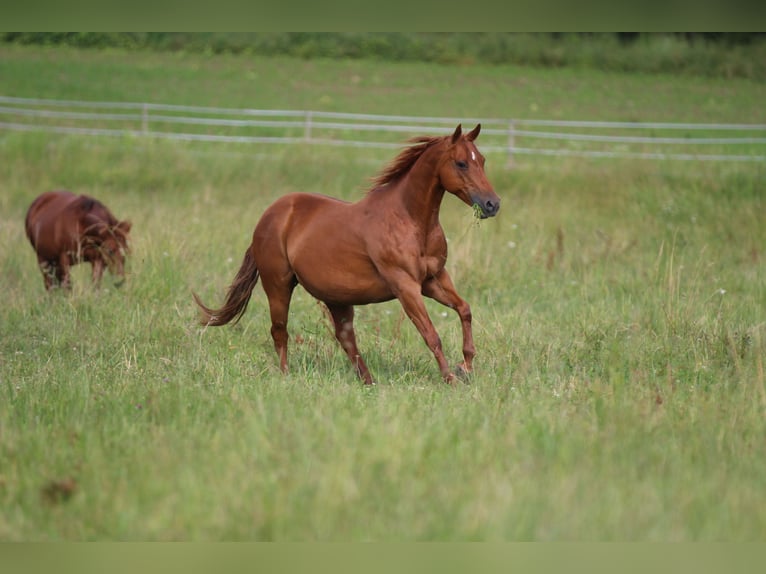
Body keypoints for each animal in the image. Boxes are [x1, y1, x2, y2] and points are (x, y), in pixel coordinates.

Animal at [193, 124, 500, 384]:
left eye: (482, 160)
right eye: (461, 163)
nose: (492, 204)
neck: (410, 221)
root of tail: (268, 216)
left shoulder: (433, 280)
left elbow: (465, 309)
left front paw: (466, 366)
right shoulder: (405, 285)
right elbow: (431, 335)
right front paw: (451, 379)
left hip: (336, 297)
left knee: (345, 337)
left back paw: (369, 381)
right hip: (278, 286)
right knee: (280, 331)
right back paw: (286, 377)